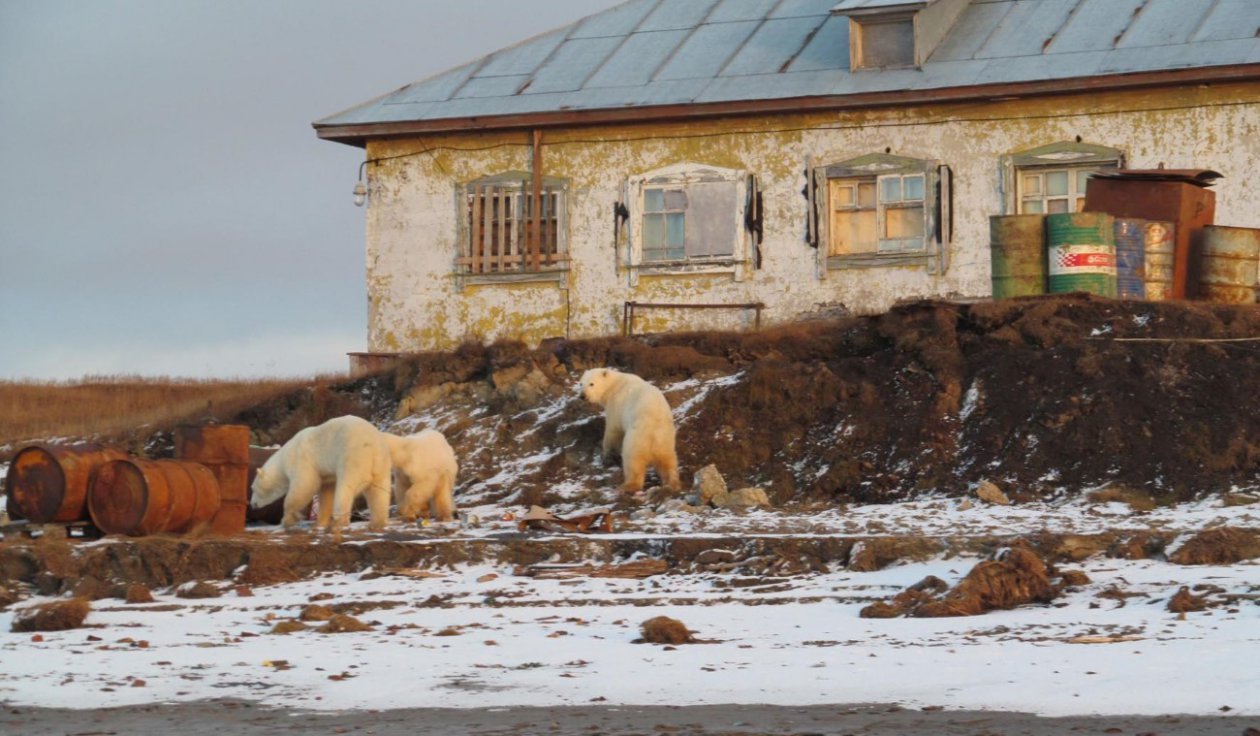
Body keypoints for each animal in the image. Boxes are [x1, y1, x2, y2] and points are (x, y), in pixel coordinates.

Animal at [248, 415, 390, 536]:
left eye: (253, 488)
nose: (252, 504)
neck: (284, 457)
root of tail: (374, 448)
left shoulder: (301, 459)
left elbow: (304, 485)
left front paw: (287, 520)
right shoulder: (326, 473)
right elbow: (327, 492)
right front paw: (319, 523)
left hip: (353, 457)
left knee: (345, 489)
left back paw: (338, 523)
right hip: (382, 465)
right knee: (379, 493)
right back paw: (377, 523)